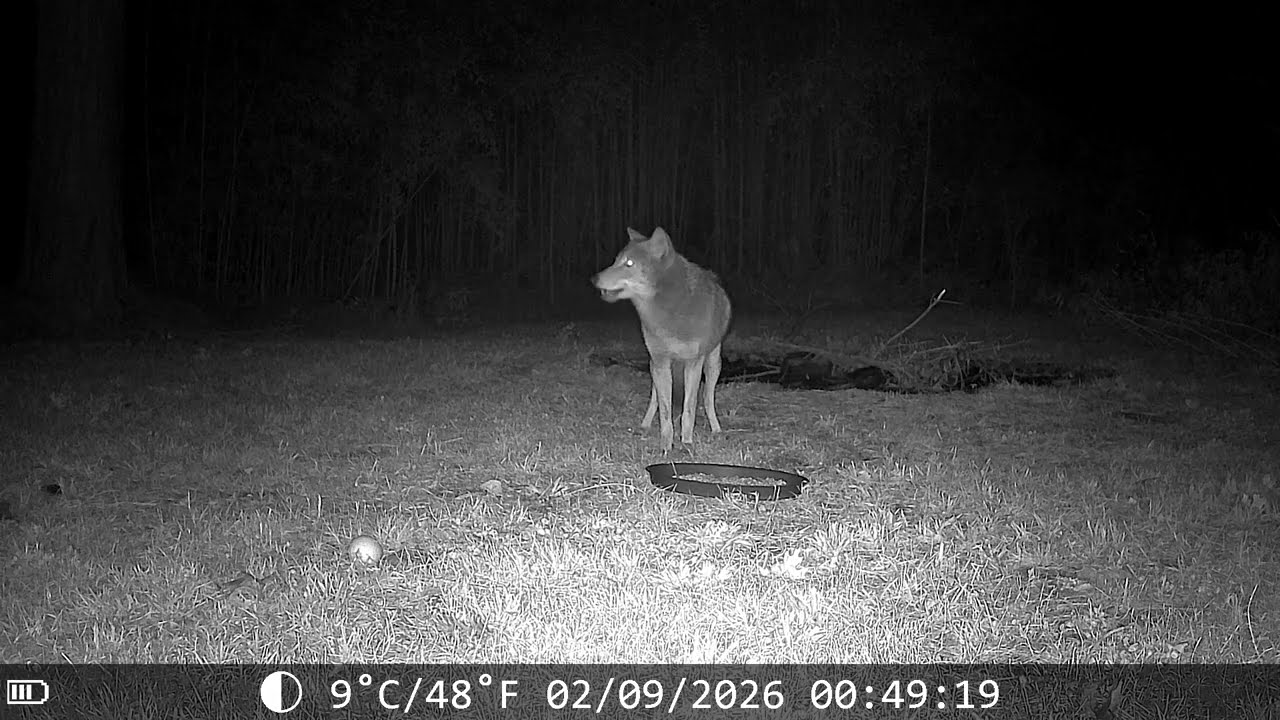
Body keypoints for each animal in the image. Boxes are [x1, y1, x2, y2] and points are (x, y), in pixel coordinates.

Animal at [593, 226, 732, 453]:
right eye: (616, 261)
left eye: (629, 263)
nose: (594, 279)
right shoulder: (660, 361)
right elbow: (665, 411)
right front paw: (666, 445)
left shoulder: (693, 363)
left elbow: (689, 409)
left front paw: (686, 443)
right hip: (654, 367)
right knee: (655, 399)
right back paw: (645, 425)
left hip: (713, 363)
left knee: (707, 398)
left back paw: (716, 429)